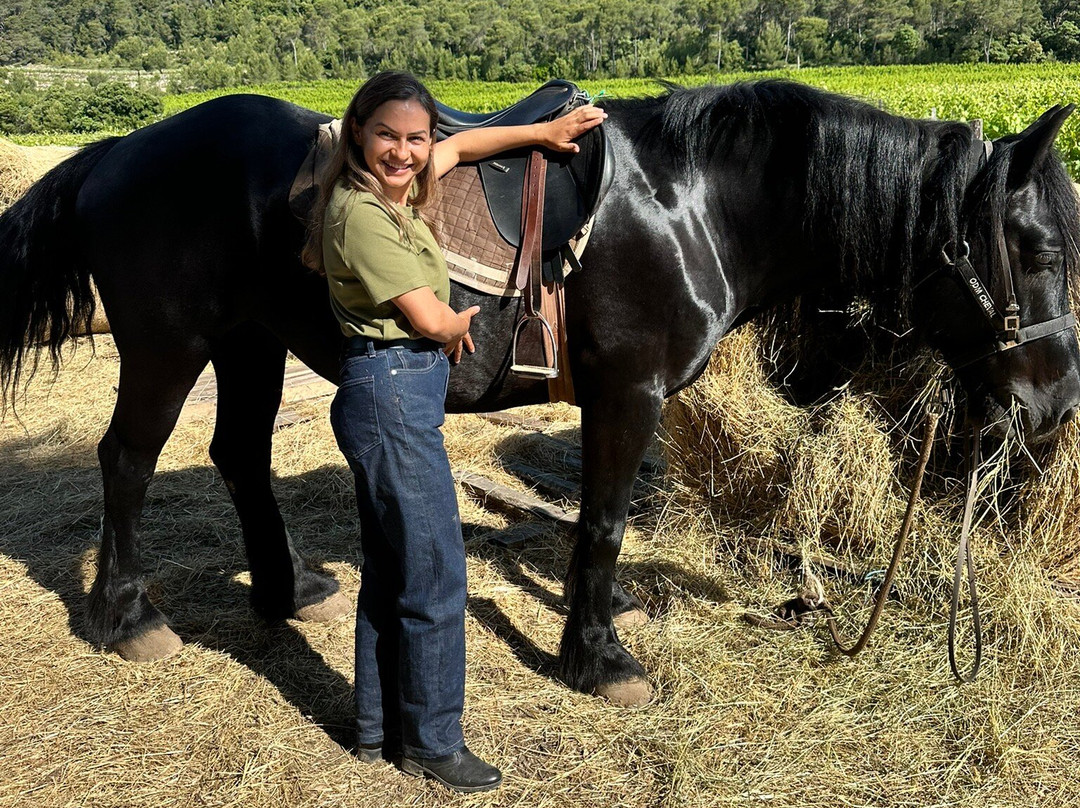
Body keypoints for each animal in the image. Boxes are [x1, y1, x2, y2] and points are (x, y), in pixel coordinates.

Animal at [2, 81, 1079, 709]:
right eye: (1038, 249)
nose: (1056, 404)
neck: (695, 200)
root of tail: (118, 150)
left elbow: (603, 517)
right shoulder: (629, 390)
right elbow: (602, 518)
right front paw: (597, 657)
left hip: (251, 344)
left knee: (239, 455)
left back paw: (287, 587)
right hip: (168, 346)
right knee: (127, 460)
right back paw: (127, 616)